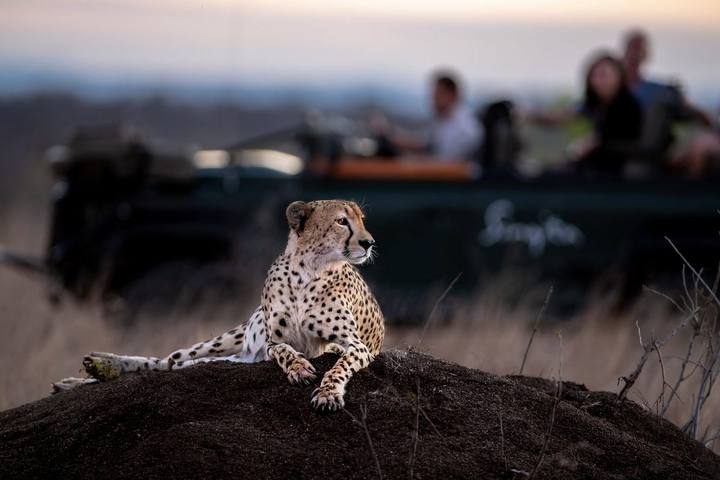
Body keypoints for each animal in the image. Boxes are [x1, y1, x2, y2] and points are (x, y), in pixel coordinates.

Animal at [53, 199, 385, 412]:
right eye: (342, 221)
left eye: (362, 220)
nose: (369, 242)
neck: (308, 270)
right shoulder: (272, 341)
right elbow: (284, 350)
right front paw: (299, 367)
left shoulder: (354, 345)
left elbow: (338, 365)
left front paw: (328, 394)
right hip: (227, 342)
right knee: (168, 362)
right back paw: (97, 368)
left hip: (239, 357)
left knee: (180, 366)